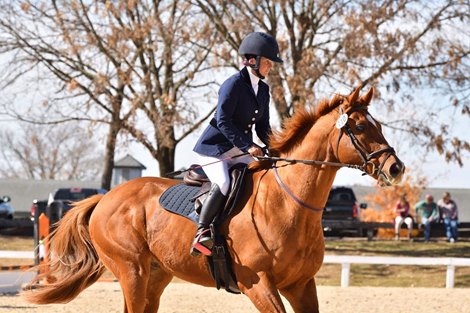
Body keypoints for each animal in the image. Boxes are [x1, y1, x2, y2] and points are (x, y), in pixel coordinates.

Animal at [23, 86, 404, 312]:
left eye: (378, 125)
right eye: (358, 128)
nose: (395, 167)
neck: (289, 204)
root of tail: (104, 199)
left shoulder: (301, 285)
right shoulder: (258, 284)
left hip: (156, 274)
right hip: (131, 271)